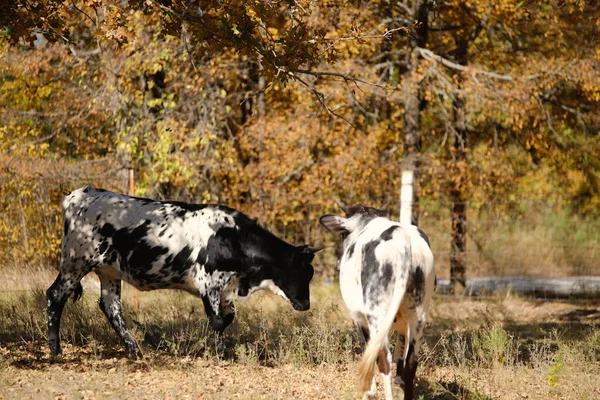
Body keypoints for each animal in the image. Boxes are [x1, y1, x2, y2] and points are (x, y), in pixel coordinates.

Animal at [45, 186, 324, 358]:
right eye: (301, 271)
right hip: (76, 261)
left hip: (109, 271)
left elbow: (226, 319)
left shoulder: (226, 289)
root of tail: (80, 194)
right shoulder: (210, 284)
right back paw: (55, 349)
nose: (307, 304)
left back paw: (135, 349)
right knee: (55, 295)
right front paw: (219, 352)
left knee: (110, 307)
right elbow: (218, 321)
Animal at [322, 203, 434, 400]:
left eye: (343, 234)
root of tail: (401, 237)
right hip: (418, 314)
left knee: (383, 358)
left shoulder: (359, 318)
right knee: (411, 362)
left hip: (376, 314)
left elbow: (368, 349)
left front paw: (370, 390)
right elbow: (401, 353)